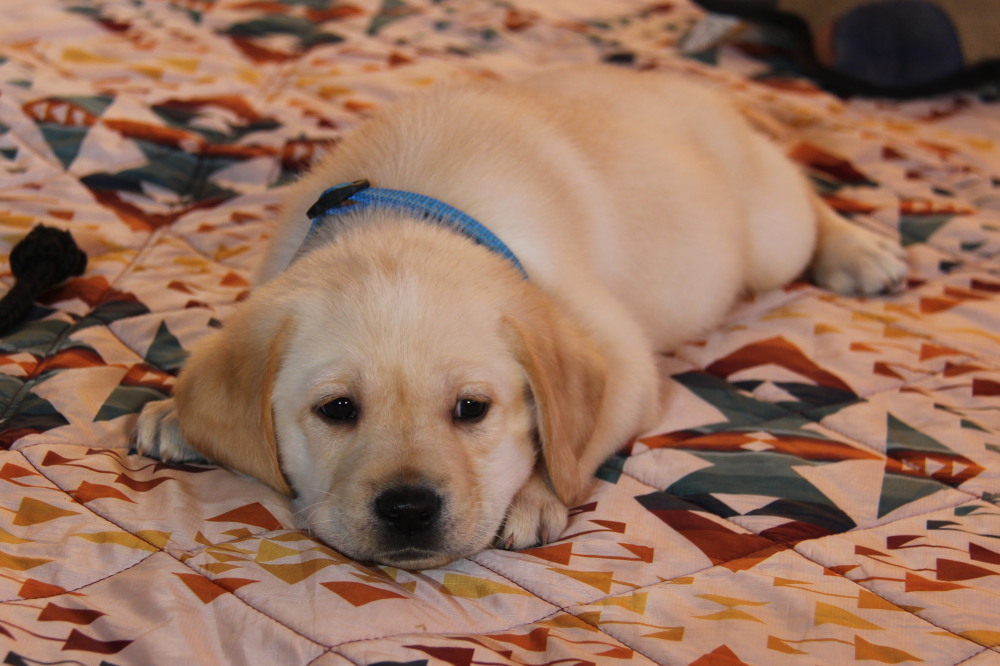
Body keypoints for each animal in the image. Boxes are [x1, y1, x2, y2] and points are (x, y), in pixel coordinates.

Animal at [133, 65, 908, 568]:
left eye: (473, 409)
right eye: (338, 410)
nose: (409, 509)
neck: (406, 213)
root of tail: (703, 90)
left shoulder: (623, 361)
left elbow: (568, 445)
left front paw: (534, 494)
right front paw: (174, 412)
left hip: (771, 235)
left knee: (807, 203)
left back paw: (861, 250)